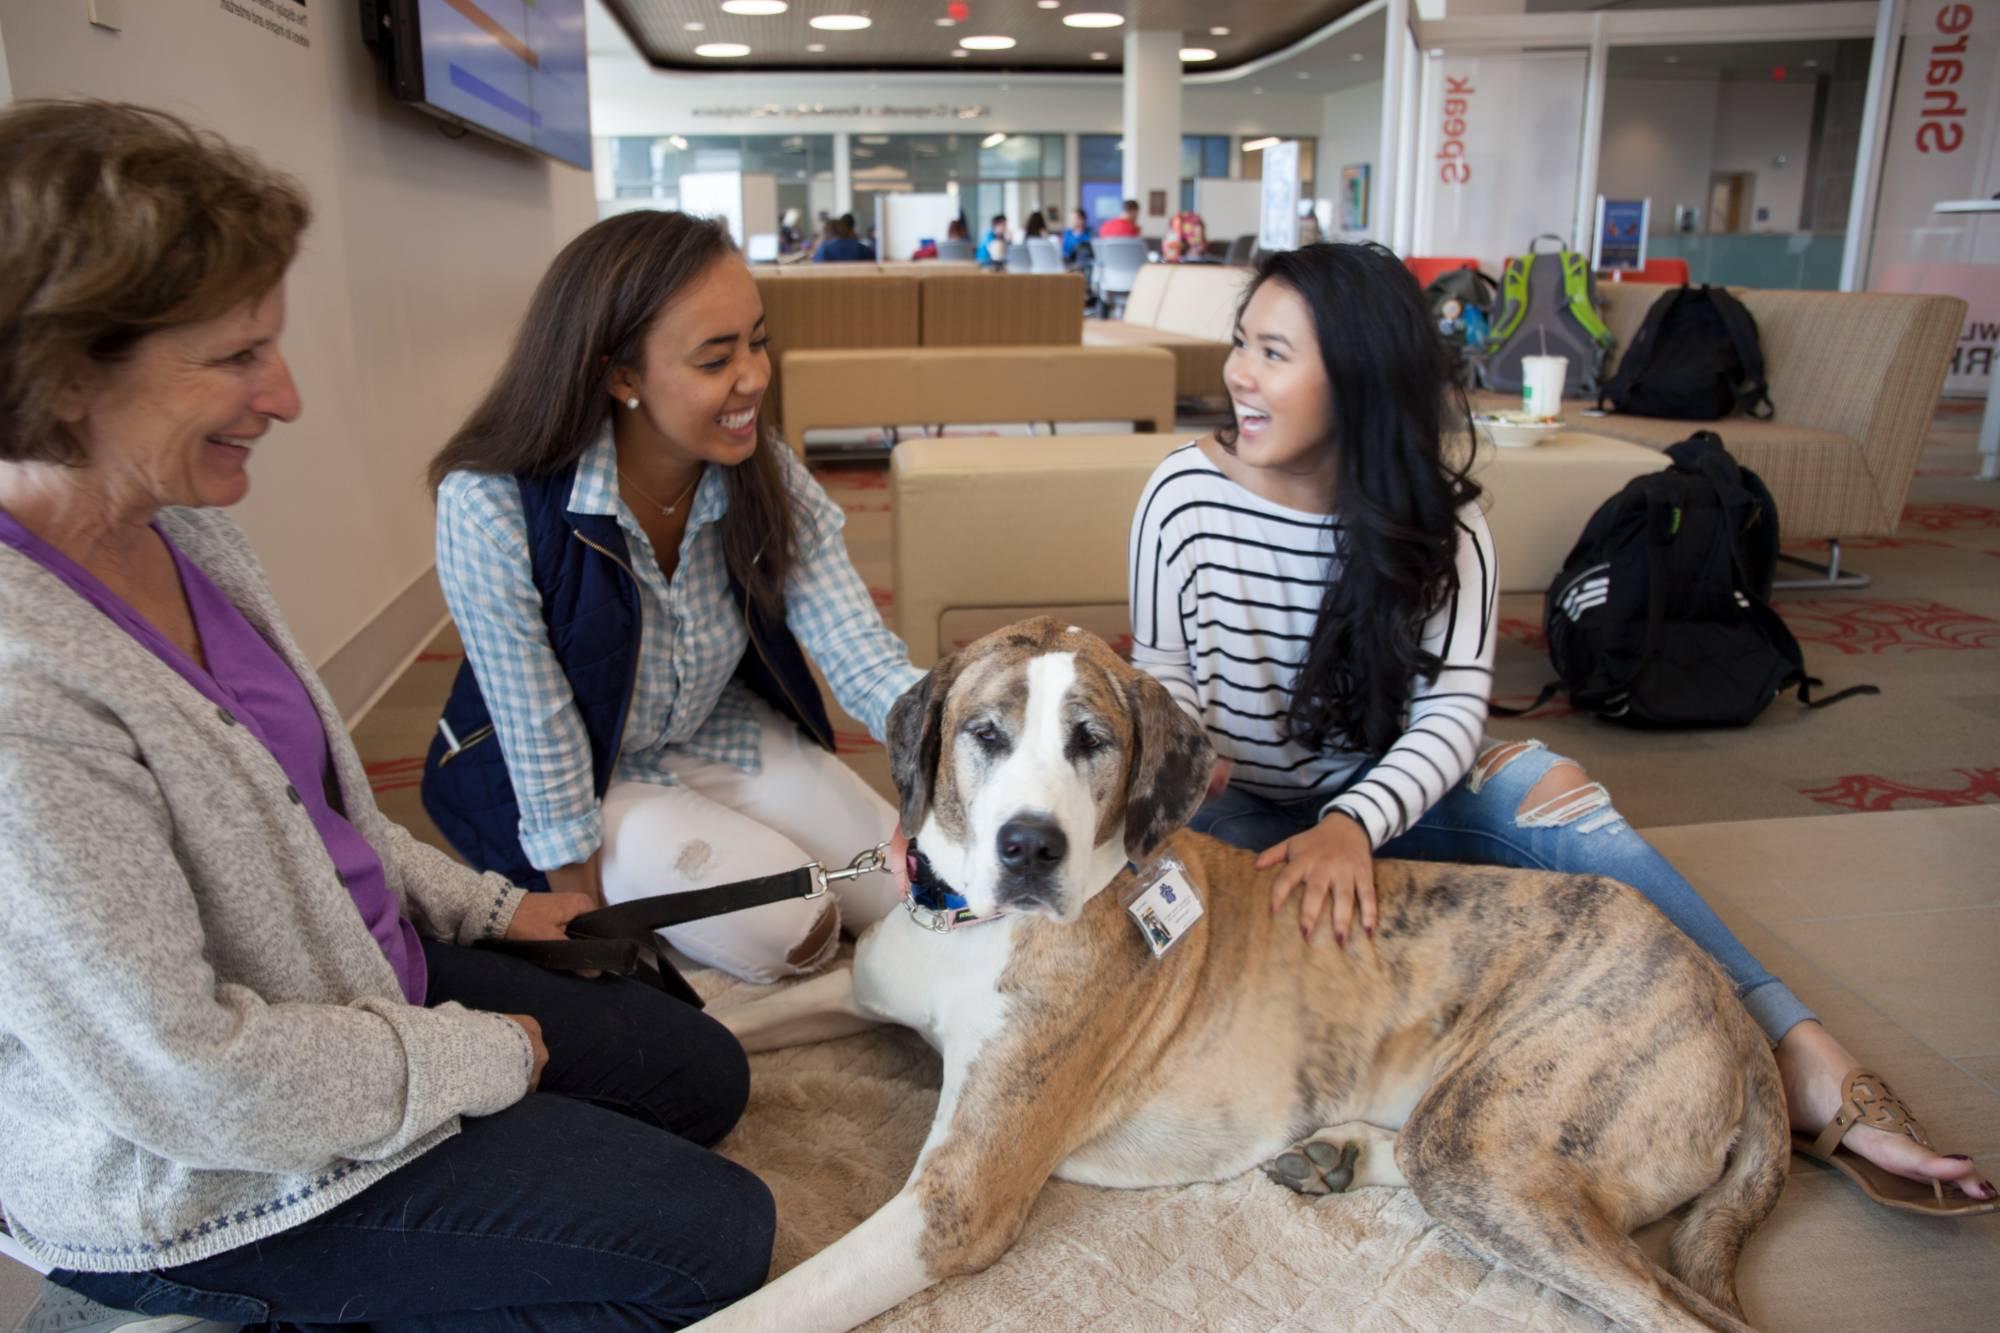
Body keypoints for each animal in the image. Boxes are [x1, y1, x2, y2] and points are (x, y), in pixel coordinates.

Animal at [696, 616, 1792, 1320]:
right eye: (985, 733)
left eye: (1091, 741)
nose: (1029, 847)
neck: (967, 925)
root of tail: (1724, 996)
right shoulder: (855, 990)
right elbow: (723, 1023)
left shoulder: (956, 1199)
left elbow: (763, 1310)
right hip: (1469, 1138)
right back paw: (1336, 1151)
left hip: (1493, 1148)